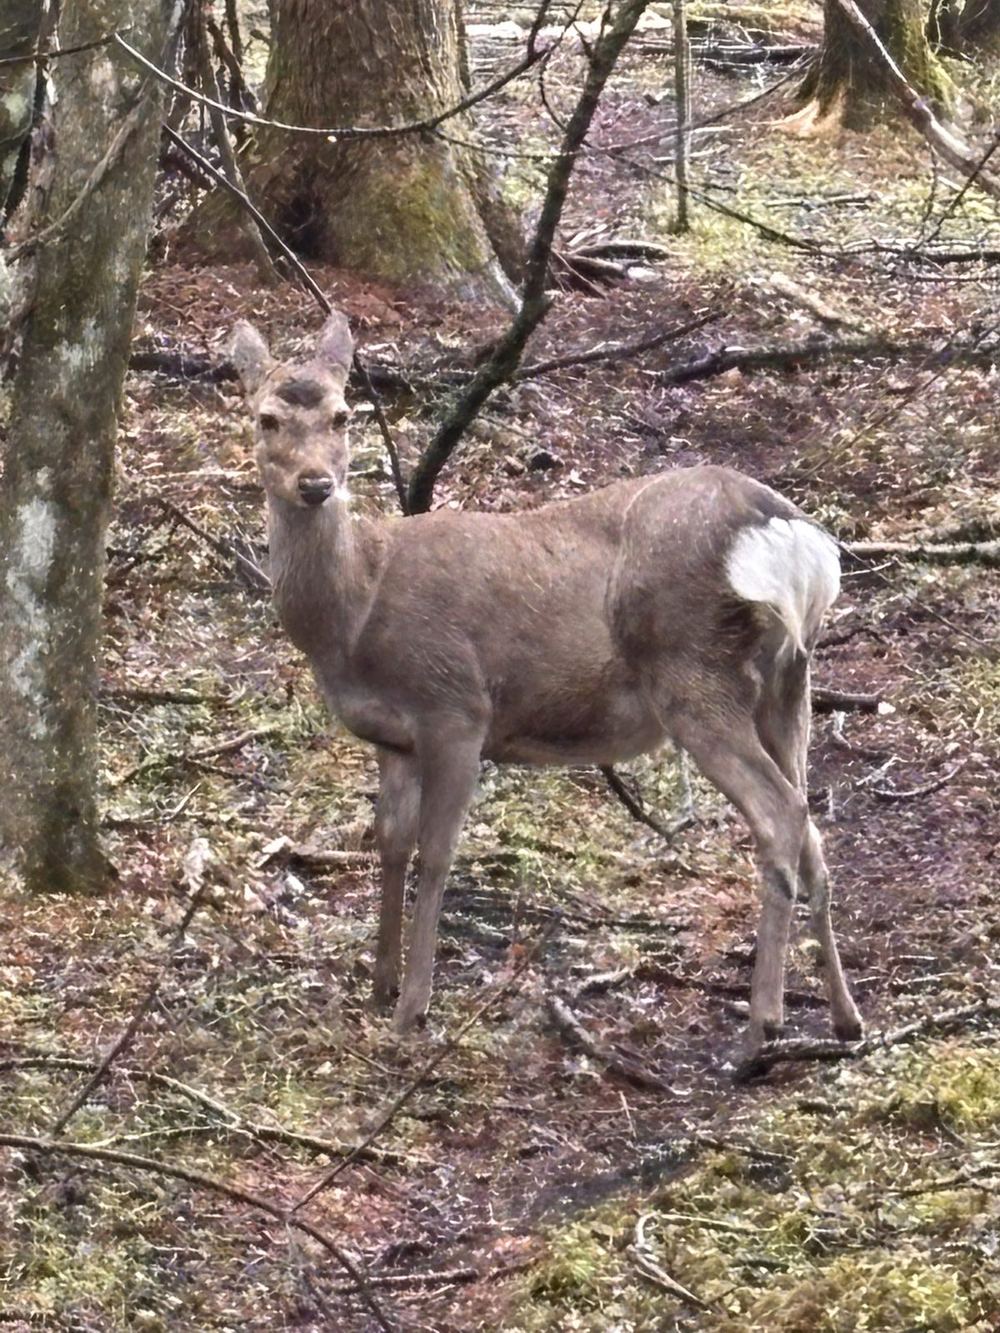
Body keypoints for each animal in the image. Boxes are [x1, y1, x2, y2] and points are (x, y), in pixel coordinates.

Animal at [229, 310, 864, 1062]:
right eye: (266, 417)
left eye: (341, 414)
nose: (317, 483)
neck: (356, 611)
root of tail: (789, 537)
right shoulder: (394, 737)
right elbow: (389, 842)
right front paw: (380, 984)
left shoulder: (456, 706)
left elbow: (436, 854)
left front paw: (413, 1006)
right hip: (789, 681)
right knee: (811, 820)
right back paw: (845, 1018)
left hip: (691, 670)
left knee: (780, 813)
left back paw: (761, 1026)